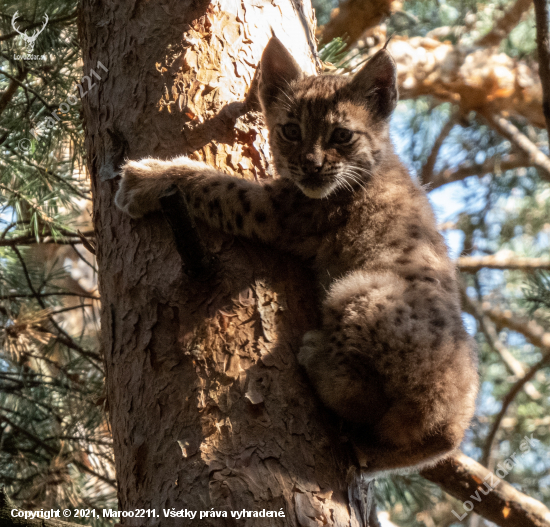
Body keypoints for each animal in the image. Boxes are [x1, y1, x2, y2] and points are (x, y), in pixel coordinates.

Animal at [115, 37, 478, 474]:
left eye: (341, 135)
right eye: (290, 131)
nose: (312, 165)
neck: (372, 161)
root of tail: (455, 426)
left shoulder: (280, 212)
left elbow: (215, 186)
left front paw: (149, 179)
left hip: (359, 286)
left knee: (363, 397)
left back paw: (317, 358)